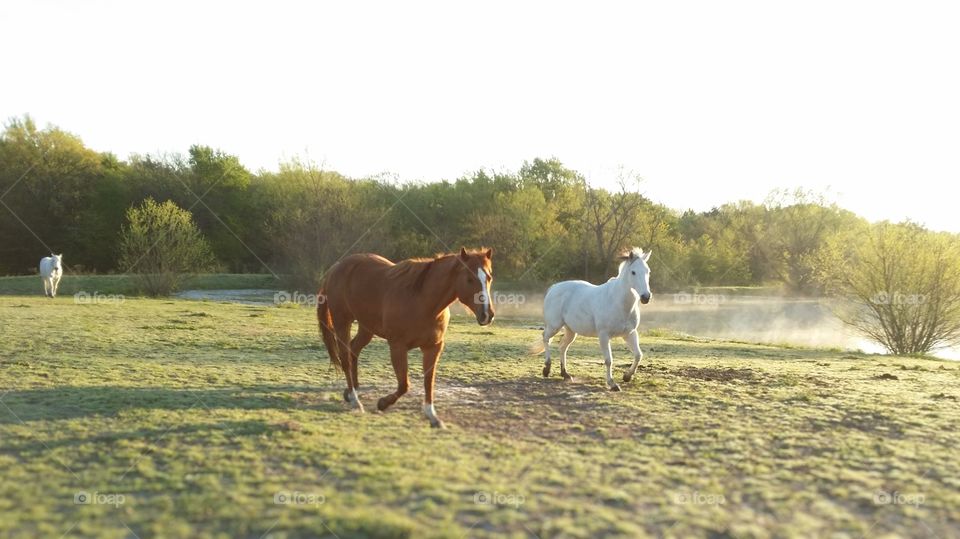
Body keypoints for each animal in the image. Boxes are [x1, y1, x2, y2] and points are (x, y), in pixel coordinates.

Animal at [316, 249, 496, 430]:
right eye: (469, 278)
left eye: (489, 277)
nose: (487, 314)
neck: (422, 301)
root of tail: (336, 268)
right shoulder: (398, 347)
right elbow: (404, 385)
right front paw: (383, 403)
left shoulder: (433, 348)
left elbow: (428, 382)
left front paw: (432, 416)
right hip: (342, 322)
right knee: (345, 358)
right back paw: (355, 399)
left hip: (366, 327)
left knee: (353, 350)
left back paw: (352, 391)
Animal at [540, 249, 652, 392]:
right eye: (633, 272)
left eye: (648, 271)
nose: (645, 297)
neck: (618, 302)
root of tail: (554, 288)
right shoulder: (604, 335)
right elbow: (609, 360)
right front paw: (612, 384)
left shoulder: (629, 334)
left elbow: (638, 355)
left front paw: (627, 376)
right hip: (554, 325)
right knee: (545, 338)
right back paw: (547, 369)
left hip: (571, 331)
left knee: (562, 347)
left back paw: (565, 374)